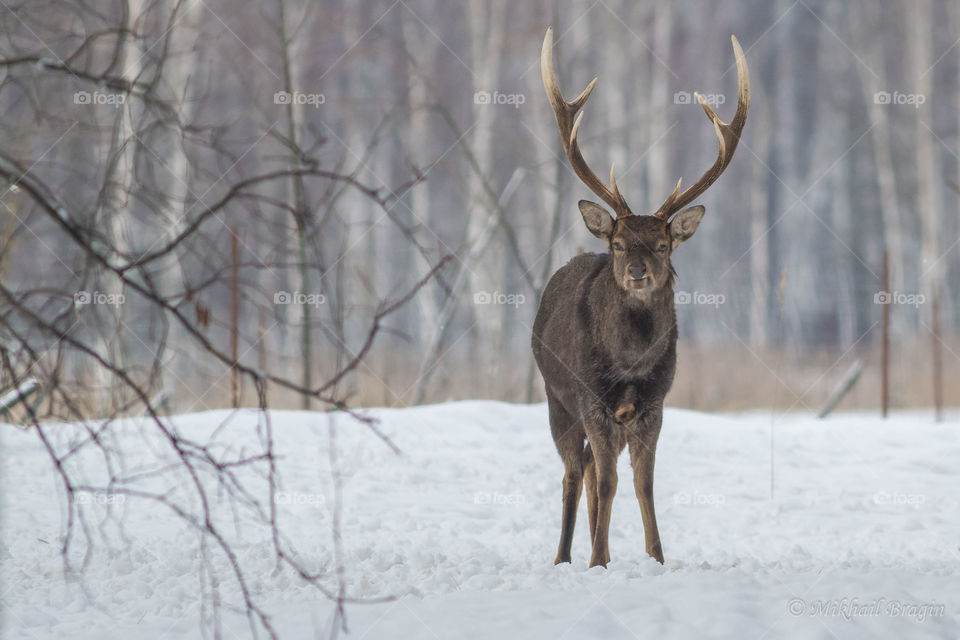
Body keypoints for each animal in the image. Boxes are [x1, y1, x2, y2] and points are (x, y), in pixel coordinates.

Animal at [532, 27, 749, 568]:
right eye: (618, 242)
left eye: (663, 244)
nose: (636, 271)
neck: (629, 364)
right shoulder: (592, 399)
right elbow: (610, 482)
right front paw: (598, 561)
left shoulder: (654, 403)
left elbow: (643, 484)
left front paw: (656, 558)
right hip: (555, 398)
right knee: (575, 473)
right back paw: (566, 557)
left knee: (591, 468)